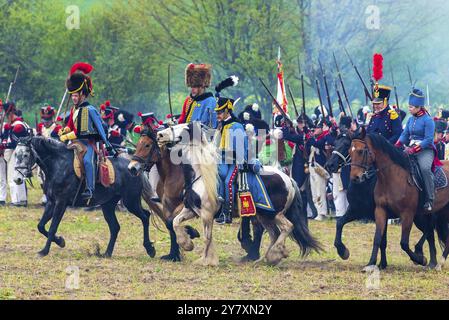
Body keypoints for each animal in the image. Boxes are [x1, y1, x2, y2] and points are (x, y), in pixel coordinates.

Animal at [13, 135, 156, 258]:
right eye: (15, 154)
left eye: (26, 154)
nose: (17, 179)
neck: (58, 165)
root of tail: (134, 168)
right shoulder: (51, 202)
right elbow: (41, 226)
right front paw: (60, 241)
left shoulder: (61, 203)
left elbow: (53, 226)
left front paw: (44, 251)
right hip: (108, 205)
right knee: (115, 227)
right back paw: (107, 253)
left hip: (131, 201)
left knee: (145, 216)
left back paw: (150, 249)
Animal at [350, 129, 448, 272]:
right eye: (349, 152)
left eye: (361, 151)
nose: (355, 178)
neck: (391, 176)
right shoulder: (380, 210)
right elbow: (377, 238)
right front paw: (371, 264)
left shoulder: (407, 214)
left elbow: (404, 243)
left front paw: (420, 259)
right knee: (431, 231)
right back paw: (433, 262)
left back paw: (439, 263)